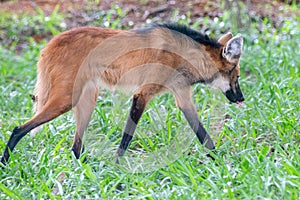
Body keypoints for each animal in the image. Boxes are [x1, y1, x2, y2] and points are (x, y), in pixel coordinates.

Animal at [1, 23, 245, 165]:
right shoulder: (142, 94)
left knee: (75, 147)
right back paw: (5, 163)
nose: (241, 98)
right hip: (66, 100)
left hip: (87, 99)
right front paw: (118, 166)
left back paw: (86, 168)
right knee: (18, 129)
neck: (187, 57)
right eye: (237, 76)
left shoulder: (181, 94)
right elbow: (127, 136)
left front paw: (221, 160)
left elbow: (203, 135)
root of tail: (49, 44)